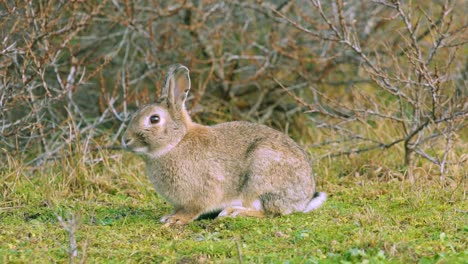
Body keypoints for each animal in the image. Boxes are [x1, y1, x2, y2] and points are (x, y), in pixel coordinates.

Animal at [120, 65, 326, 226]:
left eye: (154, 119)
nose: (125, 140)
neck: (176, 142)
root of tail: (304, 199)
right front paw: (168, 216)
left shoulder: (202, 191)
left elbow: (192, 210)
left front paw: (176, 220)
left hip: (261, 173)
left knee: (268, 211)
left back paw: (234, 212)